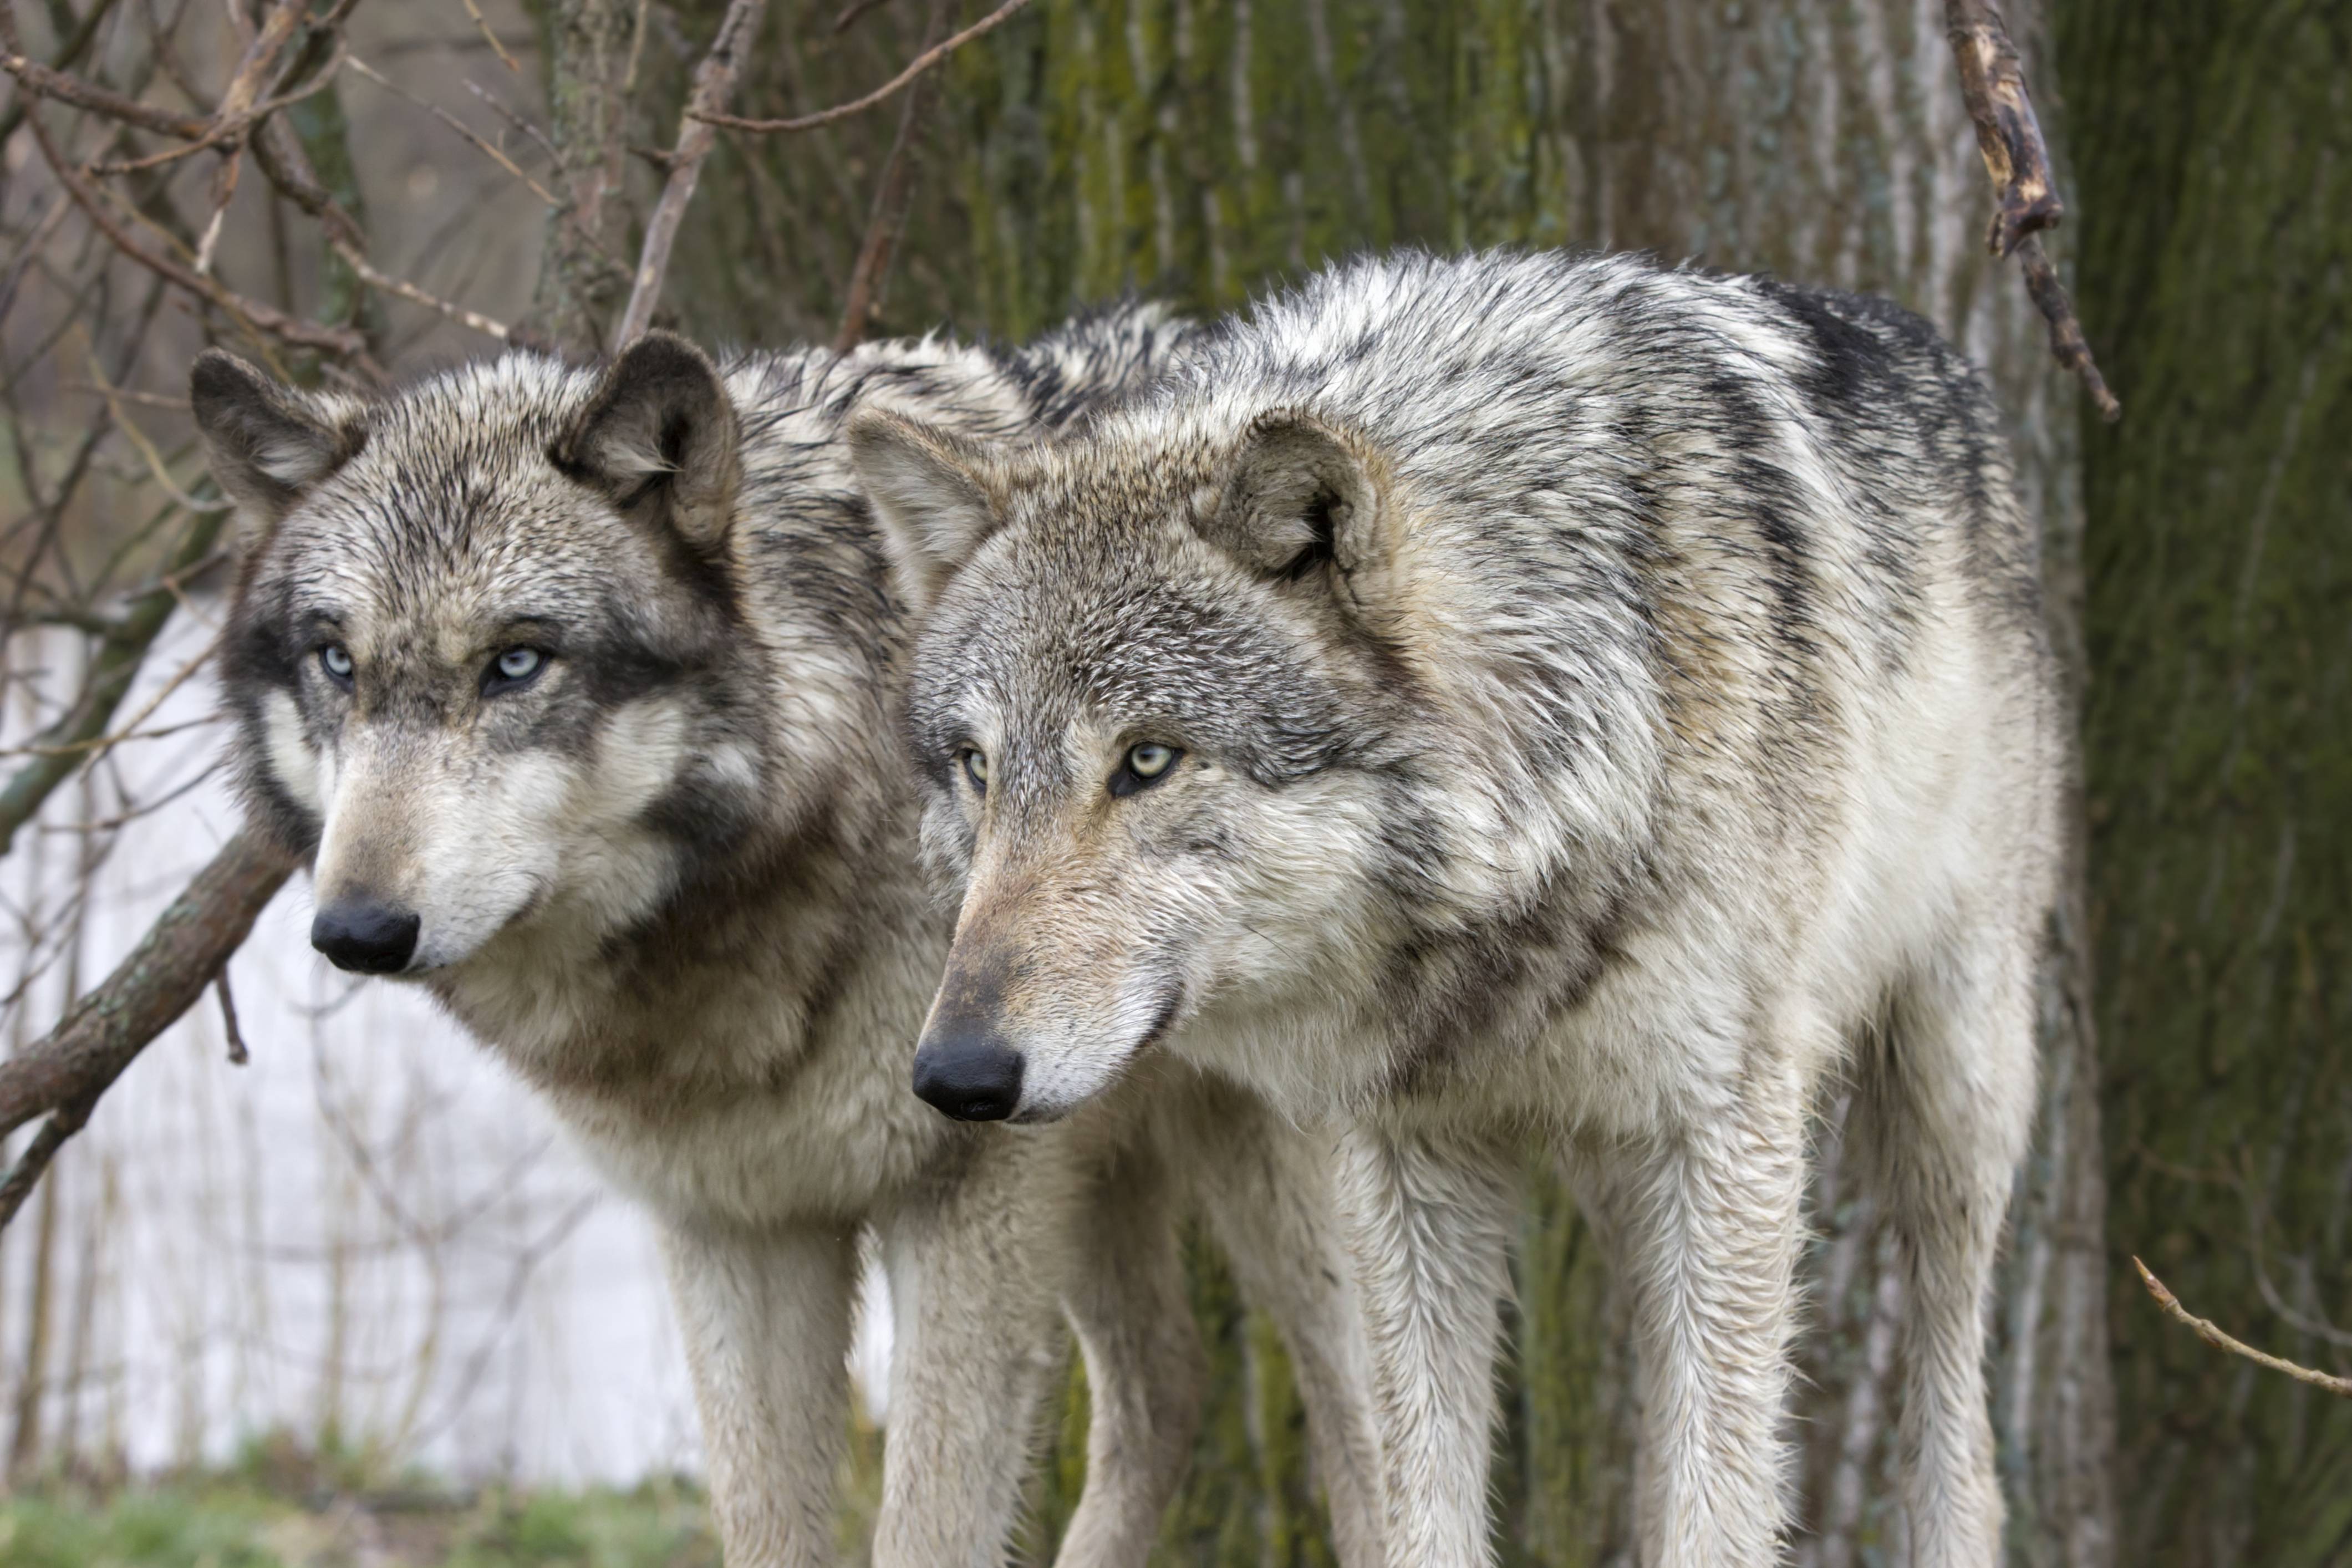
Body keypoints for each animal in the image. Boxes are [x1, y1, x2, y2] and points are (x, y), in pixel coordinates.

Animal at [193, 310, 1381, 1568]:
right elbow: (764, 1523)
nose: (357, 929)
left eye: (515, 661)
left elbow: (925, 1527)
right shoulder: (735, 1227)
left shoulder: (967, 1199)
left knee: (1360, 1426)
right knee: (1167, 1386)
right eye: (336, 660)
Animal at [848, 249, 2062, 1567]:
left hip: (1945, 1105)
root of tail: (1938, 356)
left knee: (1957, 1430)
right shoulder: (1405, 1164)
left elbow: (1723, 1506)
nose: (956, 1074)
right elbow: (1426, 1501)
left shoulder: (1723, 1134)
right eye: (977, 766)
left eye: (1150, 760)